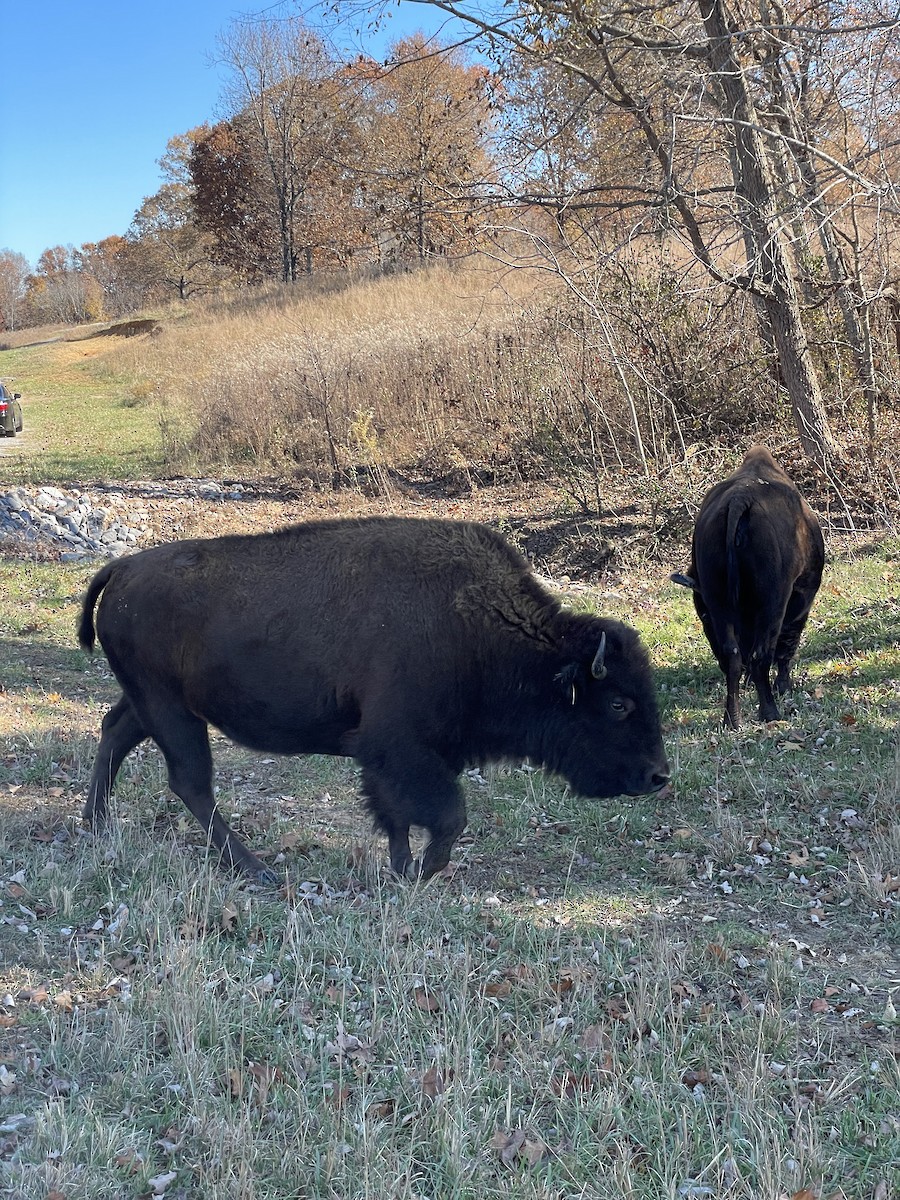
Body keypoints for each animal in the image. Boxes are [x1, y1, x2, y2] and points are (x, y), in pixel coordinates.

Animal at [79, 516, 670, 880]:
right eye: (618, 703)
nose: (659, 776)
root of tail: (122, 568)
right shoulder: (399, 747)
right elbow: (447, 815)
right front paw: (422, 871)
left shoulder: (401, 757)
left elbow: (398, 815)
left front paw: (402, 867)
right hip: (170, 710)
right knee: (190, 782)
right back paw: (256, 867)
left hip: (154, 703)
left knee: (116, 733)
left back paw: (96, 825)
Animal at [673, 446, 825, 728]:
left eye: (703, 615)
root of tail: (739, 499)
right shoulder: (801, 597)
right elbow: (786, 645)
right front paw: (783, 686)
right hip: (773, 602)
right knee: (761, 654)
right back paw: (769, 712)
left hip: (720, 602)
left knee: (732, 656)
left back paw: (732, 719)